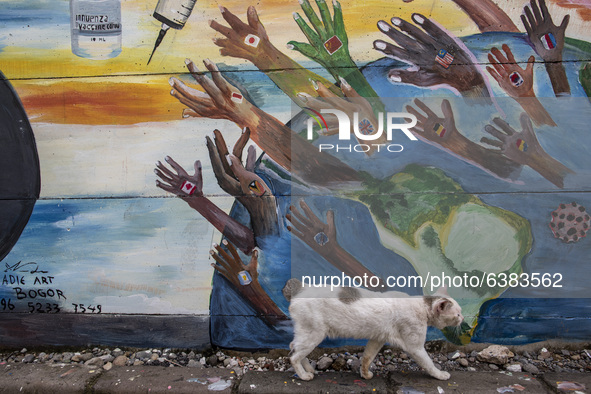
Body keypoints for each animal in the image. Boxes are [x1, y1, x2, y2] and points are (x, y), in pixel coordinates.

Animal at [284, 278, 464, 380]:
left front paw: (365, 374)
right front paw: (440, 375)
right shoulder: (416, 347)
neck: (422, 306)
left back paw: (309, 369)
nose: (463, 318)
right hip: (314, 334)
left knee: (294, 347)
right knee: (293, 355)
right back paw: (304, 375)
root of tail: (301, 288)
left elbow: (367, 357)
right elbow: (429, 363)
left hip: (307, 334)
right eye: (457, 313)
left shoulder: (378, 339)